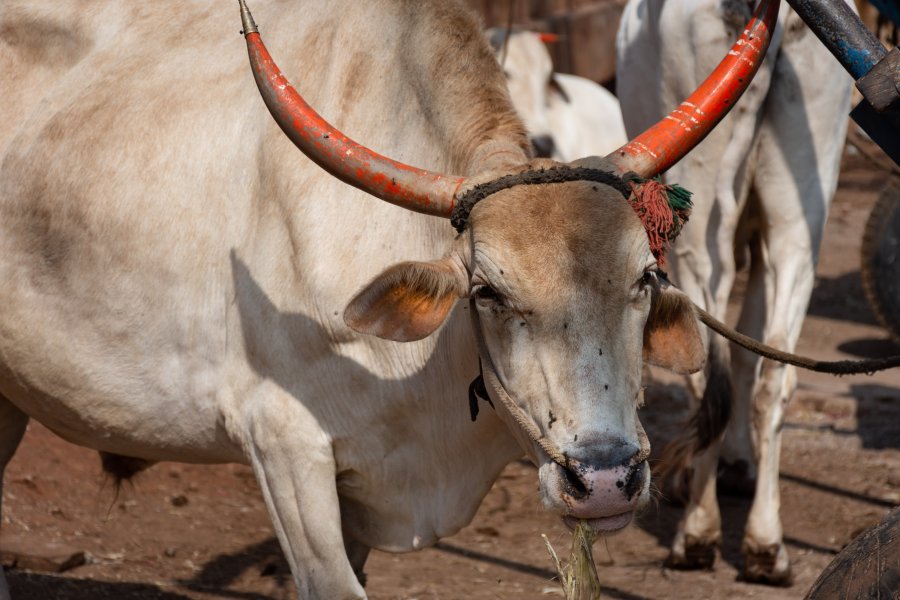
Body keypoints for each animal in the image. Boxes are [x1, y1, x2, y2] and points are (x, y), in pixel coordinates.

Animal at [616, 0, 856, 584]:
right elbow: (753, 353)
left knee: (709, 369)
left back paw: (697, 533)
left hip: (691, 211)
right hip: (802, 206)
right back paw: (766, 545)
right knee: (775, 375)